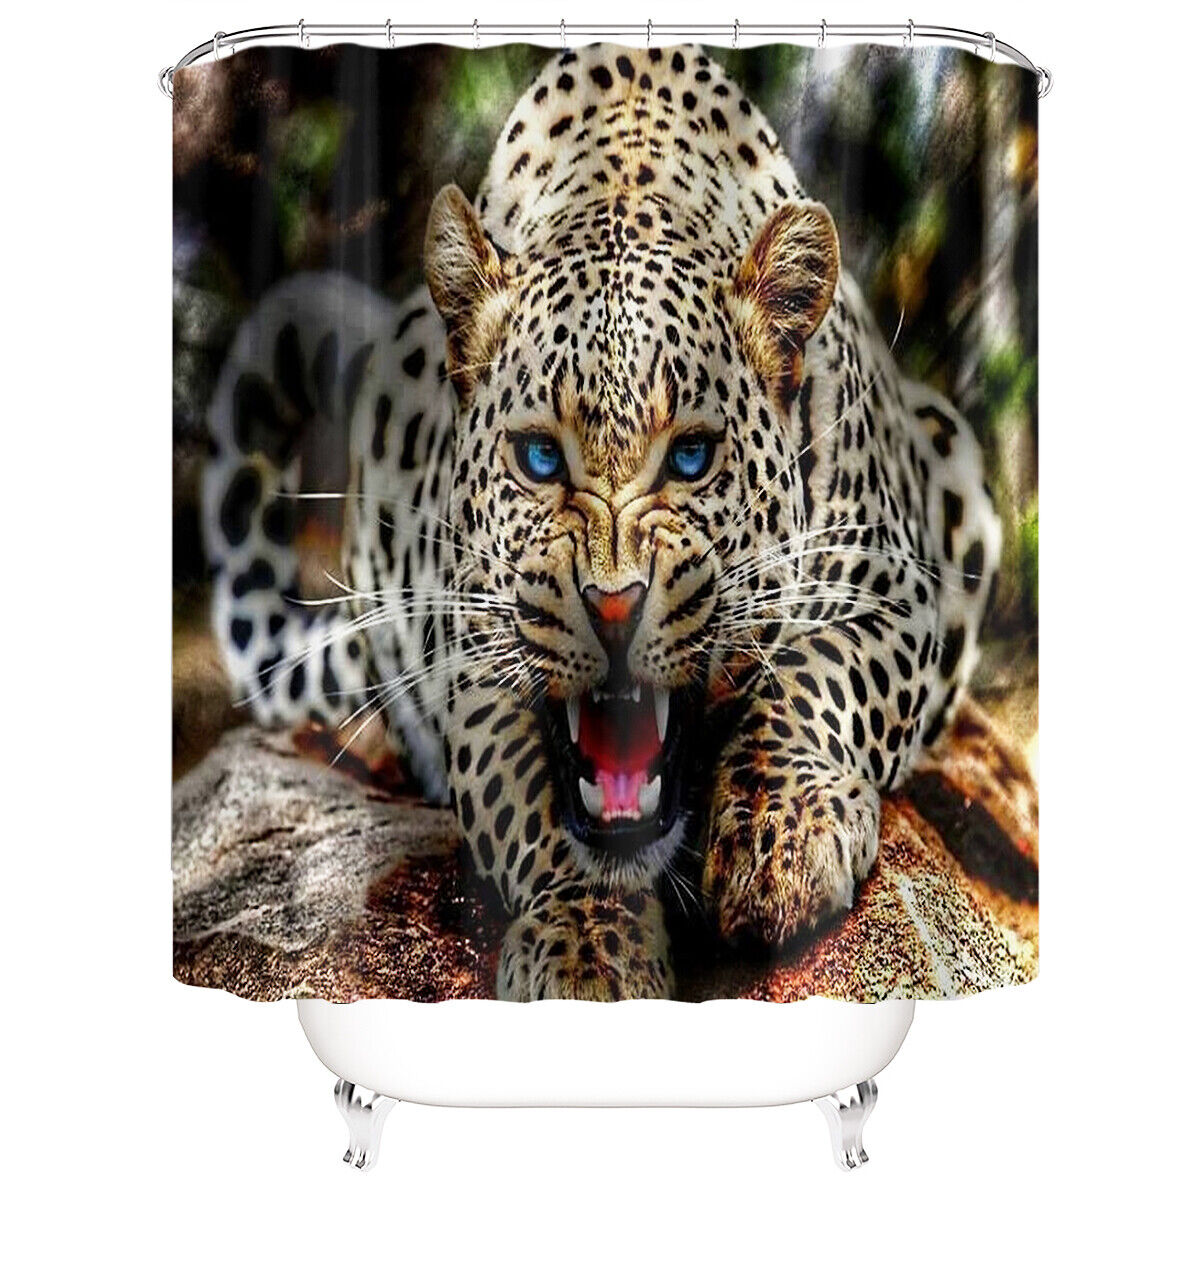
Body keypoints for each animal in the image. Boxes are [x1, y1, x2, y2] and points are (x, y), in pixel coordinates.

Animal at [200, 44, 1001, 1000]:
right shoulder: (470, 649)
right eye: (541, 459)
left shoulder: (898, 585)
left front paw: (783, 839)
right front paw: (586, 946)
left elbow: (817, 678)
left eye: (690, 458)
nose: (614, 606)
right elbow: (527, 794)